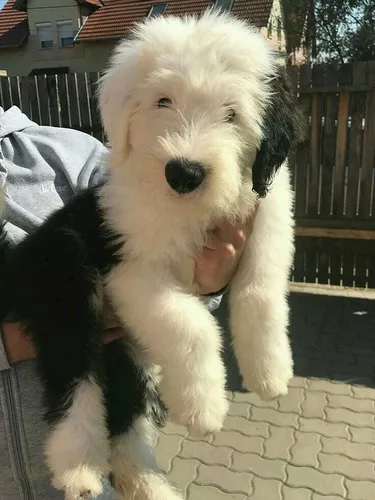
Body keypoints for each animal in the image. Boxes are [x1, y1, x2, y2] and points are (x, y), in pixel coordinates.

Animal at [0, 9, 304, 500]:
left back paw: (146, 483)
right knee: (75, 377)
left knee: (126, 409)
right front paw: (204, 408)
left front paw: (270, 372)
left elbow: (260, 291)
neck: (186, 213)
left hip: (122, 349)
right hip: (67, 275)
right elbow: (190, 325)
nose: (184, 172)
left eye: (232, 114)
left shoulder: (268, 215)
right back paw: (79, 469)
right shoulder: (127, 269)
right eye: (163, 101)